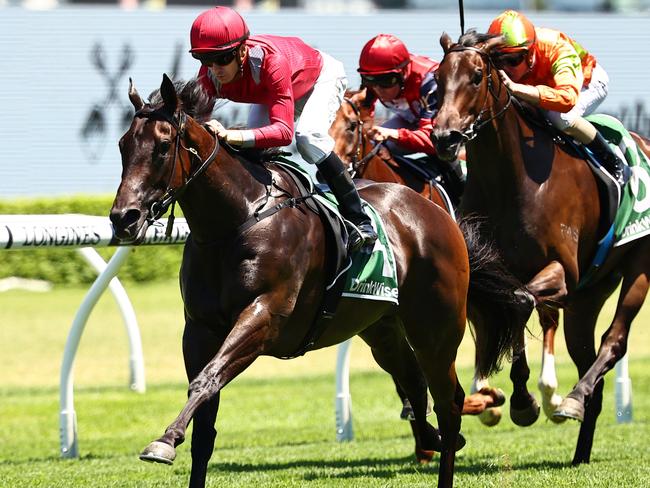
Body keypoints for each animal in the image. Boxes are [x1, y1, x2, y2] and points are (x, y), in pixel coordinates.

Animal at [430, 30, 648, 466]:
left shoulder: (561, 270)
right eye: (437, 79)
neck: (511, 180)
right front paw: (515, 398)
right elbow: (512, 306)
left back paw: (572, 399)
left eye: (477, 76)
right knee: (586, 355)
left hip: (638, 264)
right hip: (589, 294)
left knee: (613, 340)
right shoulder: (494, 273)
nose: (445, 137)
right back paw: (580, 449)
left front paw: (526, 400)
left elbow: (520, 302)